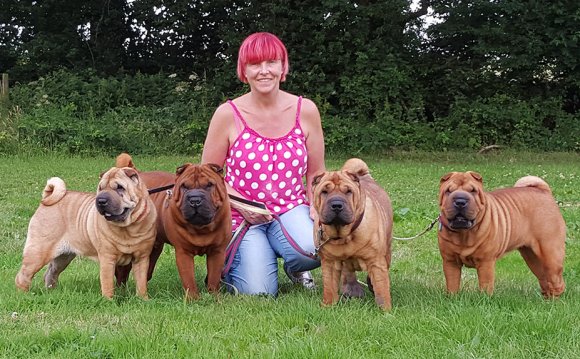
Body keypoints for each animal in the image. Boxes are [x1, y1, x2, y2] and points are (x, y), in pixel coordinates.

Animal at [15, 167, 157, 300]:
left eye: (120, 188)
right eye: (101, 188)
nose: (101, 200)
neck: (128, 228)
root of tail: (47, 198)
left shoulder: (142, 258)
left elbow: (141, 283)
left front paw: (143, 300)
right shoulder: (107, 259)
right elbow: (107, 283)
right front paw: (108, 301)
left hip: (63, 257)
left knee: (50, 273)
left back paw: (51, 292)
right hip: (38, 252)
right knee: (23, 275)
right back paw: (24, 295)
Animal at [113, 153, 231, 300]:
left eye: (209, 185)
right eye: (184, 186)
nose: (195, 200)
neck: (201, 228)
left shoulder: (217, 252)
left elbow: (214, 278)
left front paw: (214, 297)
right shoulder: (183, 253)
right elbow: (189, 279)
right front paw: (193, 299)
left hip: (155, 248)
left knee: (146, 271)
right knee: (121, 273)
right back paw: (121, 292)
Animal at [312, 159, 394, 310]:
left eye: (348, 192)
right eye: (324, 192)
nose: (336, 205)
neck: (344, 235)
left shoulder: (376, 261)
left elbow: (381, 288)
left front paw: (385, 310)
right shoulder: (329, 262)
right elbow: (329, 286)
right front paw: (328, 305)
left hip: (387, 249)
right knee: (348, 273)